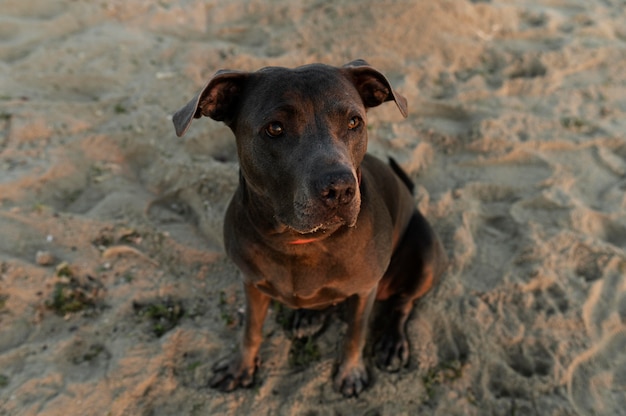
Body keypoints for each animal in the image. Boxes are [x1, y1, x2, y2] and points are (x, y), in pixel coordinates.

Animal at [171, 58, 444, 396]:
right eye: (275, 128)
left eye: (354, 122)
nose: (340, 189)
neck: (299, 242)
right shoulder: (251, 283)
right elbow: (251, 330)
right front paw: (241, 366)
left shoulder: (365, 290)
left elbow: (354, 335)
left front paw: (351, 372)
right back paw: (310, 317)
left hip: (426, 254)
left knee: (404, 303)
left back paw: (392, 342)